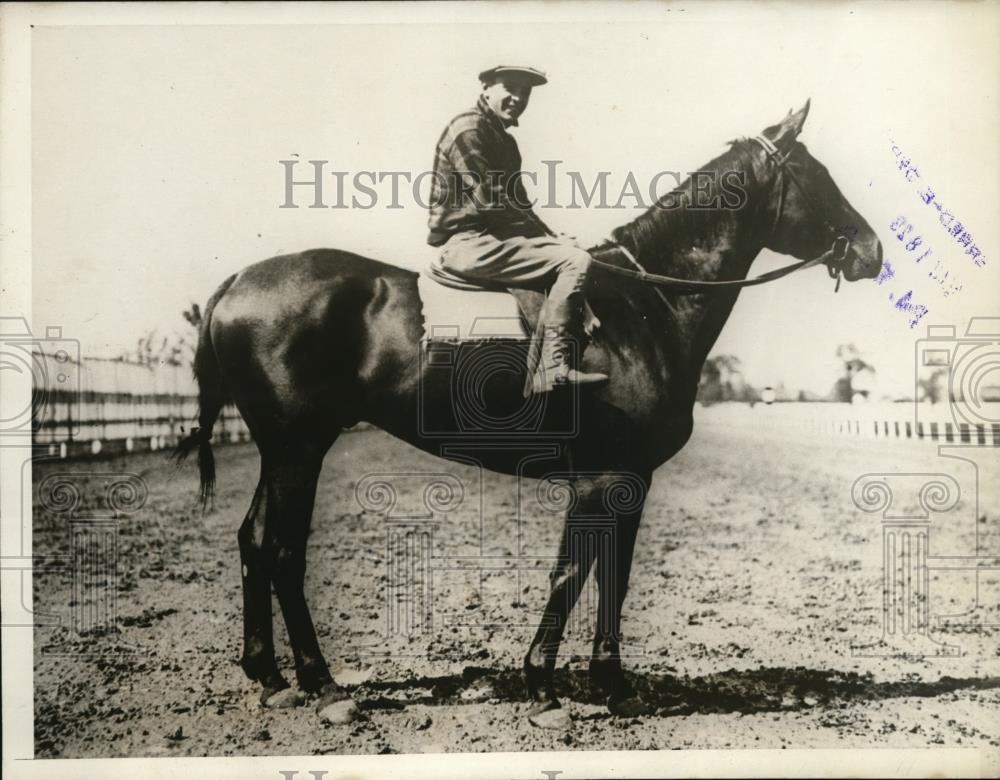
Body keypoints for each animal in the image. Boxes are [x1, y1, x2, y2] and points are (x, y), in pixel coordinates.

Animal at [174, 100, 884, 728]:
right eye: (817, 175)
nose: (873, 251)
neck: (643, 307)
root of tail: (236, 284)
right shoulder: (604, 480)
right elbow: (578, 573)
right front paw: (559, 688)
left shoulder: (622, 482)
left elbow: (604, 574)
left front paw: (595, 686)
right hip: (299, 449)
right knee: (284, 552)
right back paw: (323, 687)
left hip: (282, 450)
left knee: (252, 542)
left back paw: (269, 677)